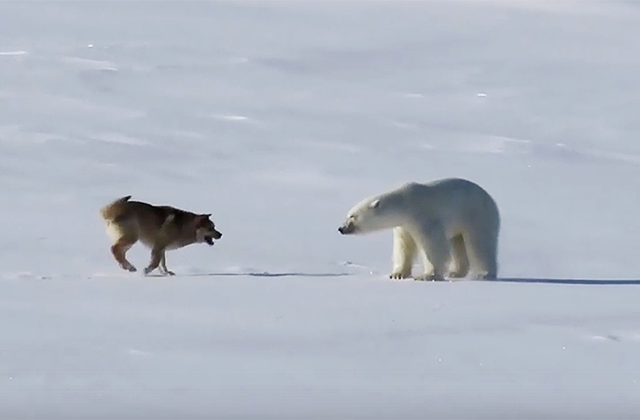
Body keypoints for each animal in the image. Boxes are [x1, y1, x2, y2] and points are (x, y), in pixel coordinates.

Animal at [338, 176, 502, 278]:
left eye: (352, 216)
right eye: (348, 215)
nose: (341, 228)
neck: (405, 203)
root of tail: (492, 199)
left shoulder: (423, 216)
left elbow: (433, 246)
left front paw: (427, 275)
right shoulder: (404, 226)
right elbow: (404, 246)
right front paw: (398, 274)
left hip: (477, 214)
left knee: (480, 243)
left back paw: (483, 273)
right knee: (458, 243)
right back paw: (455, 272)